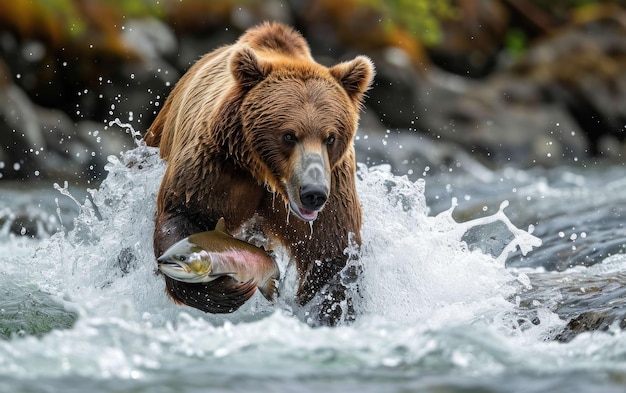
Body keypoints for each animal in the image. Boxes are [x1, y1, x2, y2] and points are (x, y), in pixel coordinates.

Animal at [144, 21, 372, 324]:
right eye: (289, 135)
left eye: (330, 137)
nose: (312, 194)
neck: (267, 176)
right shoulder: (216, 166)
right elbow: (183, 212)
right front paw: (221, 291)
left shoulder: (334, 183)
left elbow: (332, 254)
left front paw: (325, 312)